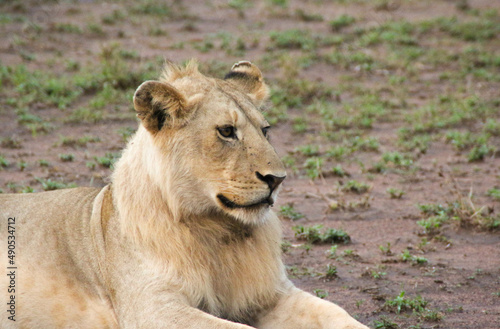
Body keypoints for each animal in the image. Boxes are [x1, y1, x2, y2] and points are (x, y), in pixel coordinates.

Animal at [0, 60, 368, 326]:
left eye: (265, 130)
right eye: (226, 131)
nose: (277, 179)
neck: (218, 232)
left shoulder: (272, 294)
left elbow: (338, 314)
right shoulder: (153, 308)